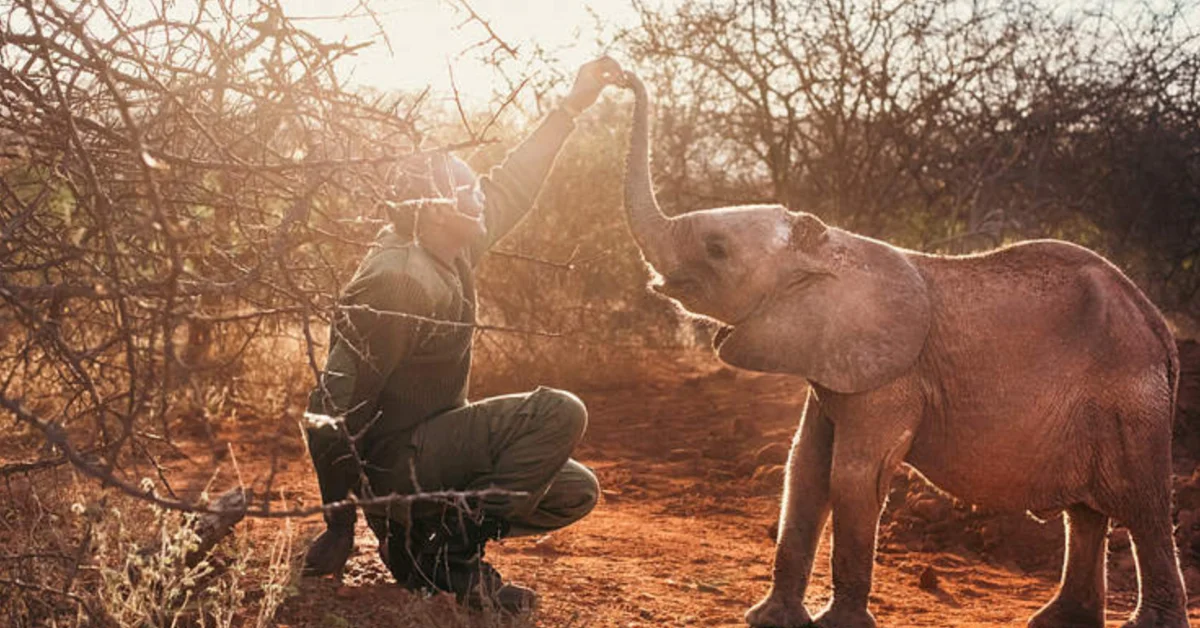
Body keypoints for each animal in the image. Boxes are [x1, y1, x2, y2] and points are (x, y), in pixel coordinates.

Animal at [619, 70, 1190, 628]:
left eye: (716, 250)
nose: (617, 74)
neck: (829, 249)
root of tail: (1159, 328)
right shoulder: (834, 364)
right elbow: (804, 469)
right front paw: (768, 618)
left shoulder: (890, 380)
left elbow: (854, 477)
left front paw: (837, 624)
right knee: (1087, 514)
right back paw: (1057, 620)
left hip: (1129, 401)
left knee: (1144, 510)